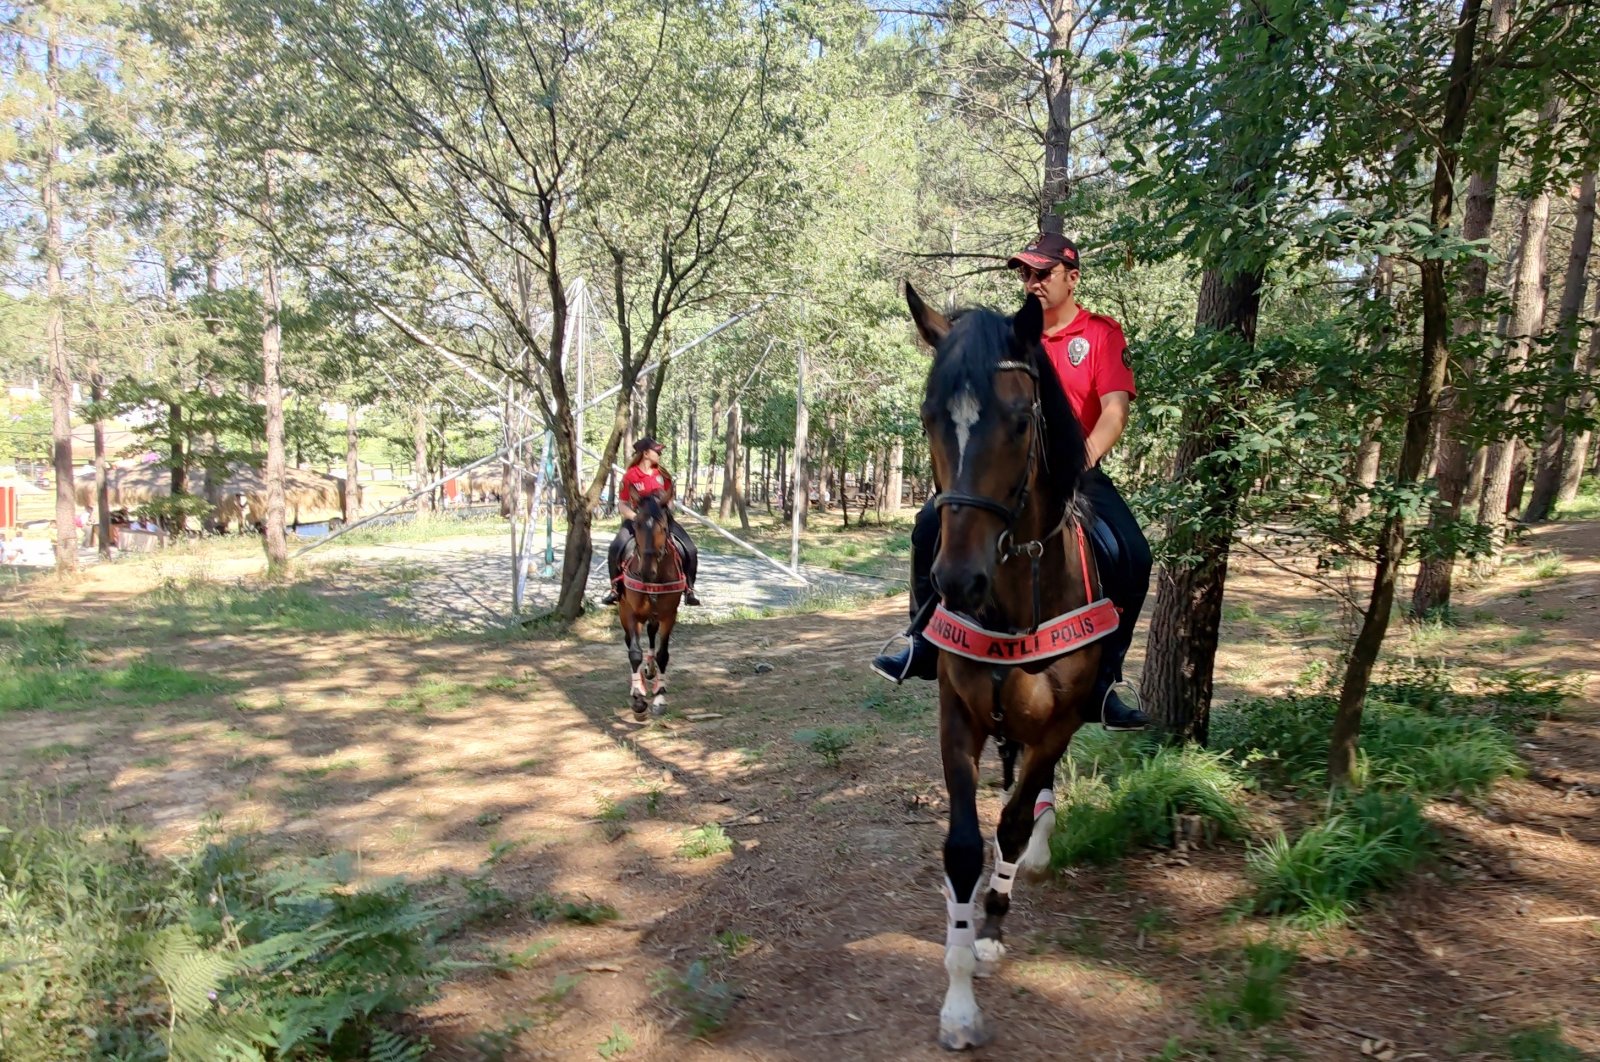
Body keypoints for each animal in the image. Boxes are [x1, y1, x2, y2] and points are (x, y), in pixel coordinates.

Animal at [617, 492, 681, 716]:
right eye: (636, 525)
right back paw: (638, 684)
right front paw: (638, 698)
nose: (646, 571)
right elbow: (634, 652)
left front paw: (660, 697)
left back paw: (651, 671)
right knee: (630, 641)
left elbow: (663, 655)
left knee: (652, 633)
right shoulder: (630, 612)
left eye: (662, 527)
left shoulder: (669, 614)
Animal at [908, 286, 1120, 1049]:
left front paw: (993, 925)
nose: (956, 581)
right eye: (930, 416)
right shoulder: (957, 716)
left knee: (1034, 800)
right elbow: (965, 846)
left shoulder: (1061, 722)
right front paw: (959, 1001)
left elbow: (1014, 823)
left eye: (1022, 419)